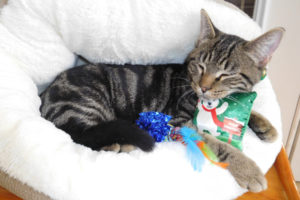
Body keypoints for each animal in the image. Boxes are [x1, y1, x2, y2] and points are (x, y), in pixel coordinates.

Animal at [39, 9, 284, 192]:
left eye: (225, 74)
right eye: (201, 66)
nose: (203, 87)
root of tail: (45, 94)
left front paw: (265, 125)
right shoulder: (180, 122)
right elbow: (214, 142)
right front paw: (248, 169)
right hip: (88, 102)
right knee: (81, 134)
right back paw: (120, 142)